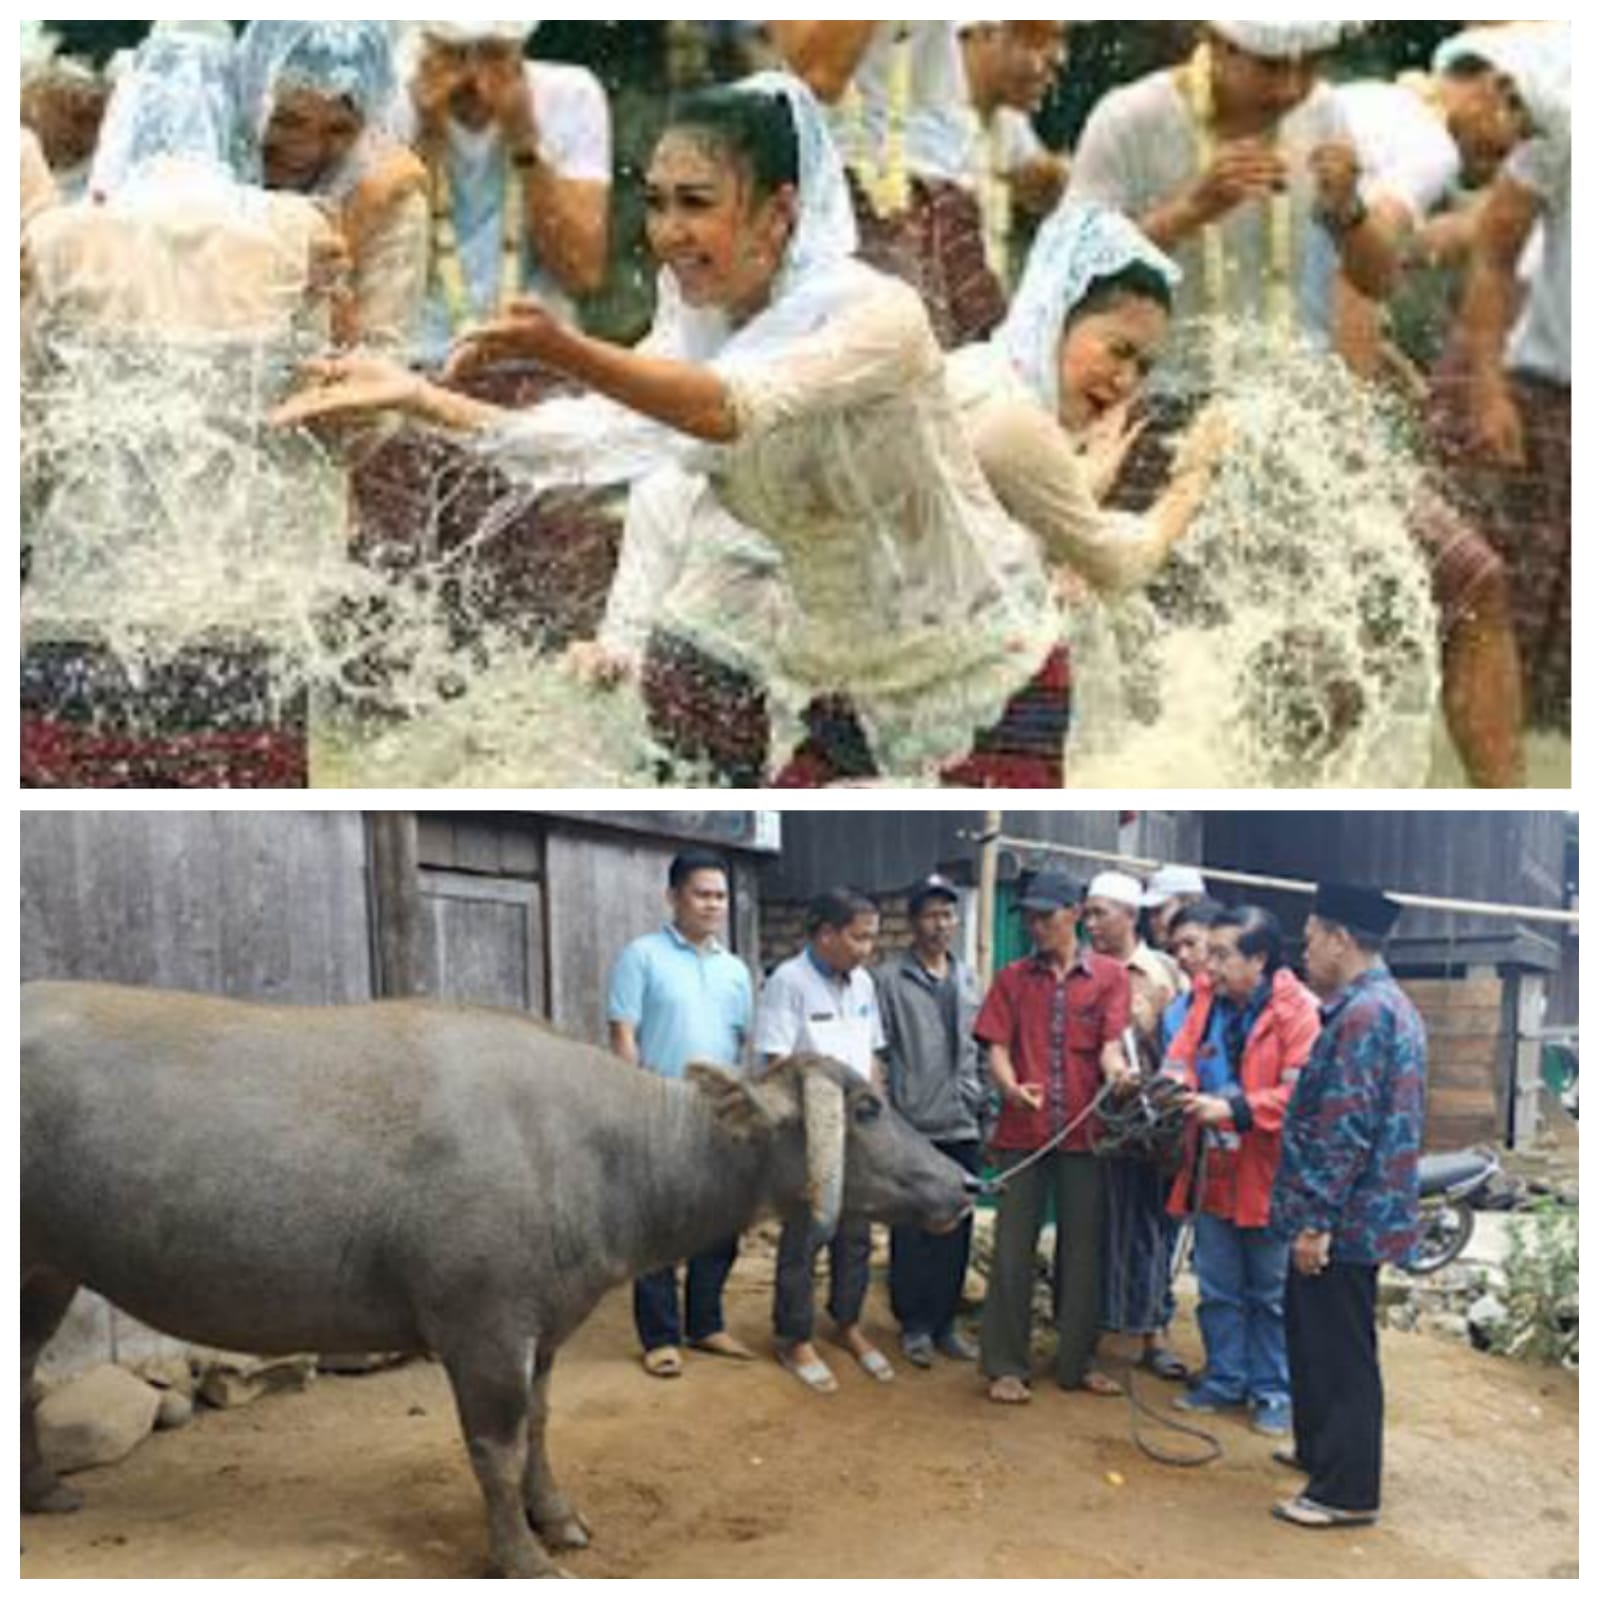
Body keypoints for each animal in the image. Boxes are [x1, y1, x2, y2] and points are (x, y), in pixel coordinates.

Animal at [21, 978, 972, 1579]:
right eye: (865, 1107)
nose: (964, 1183)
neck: (590, 1146)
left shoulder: (540, 1328)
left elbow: (542, 1426)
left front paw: (559, 1515)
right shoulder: (480, 1329)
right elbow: (497, 1446)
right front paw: (521, 1553)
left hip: (48, 1271)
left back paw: (44, 1490)